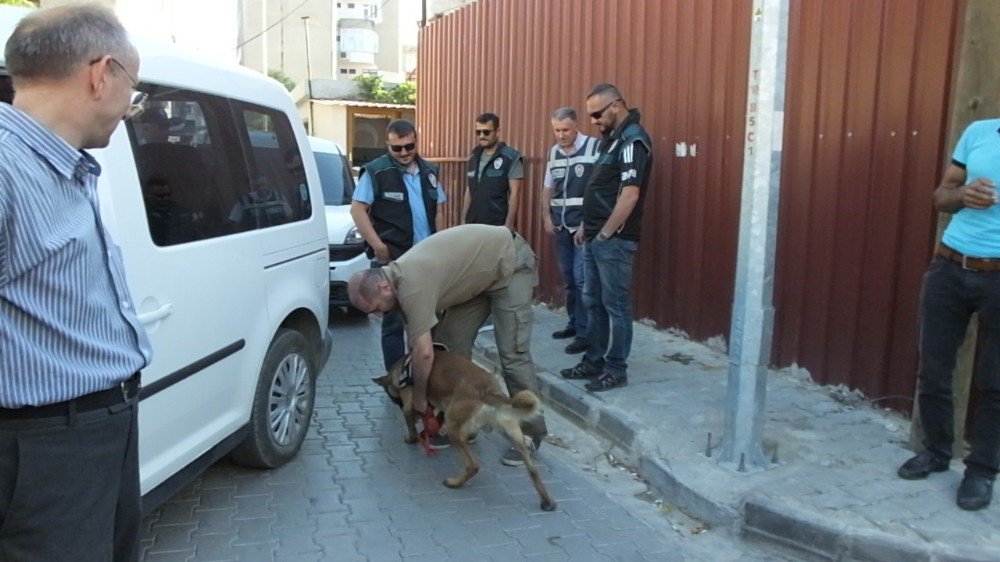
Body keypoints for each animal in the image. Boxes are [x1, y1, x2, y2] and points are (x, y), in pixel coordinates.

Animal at [374, 348, 560, 510]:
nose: (395, 402)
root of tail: (489, 391)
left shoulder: (409, 404)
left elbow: (411, 423)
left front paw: (411, 438)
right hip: (514, 435)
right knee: (533, 471)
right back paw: (547, 501)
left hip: (453, 426)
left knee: (473, 465)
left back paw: (454, 482)